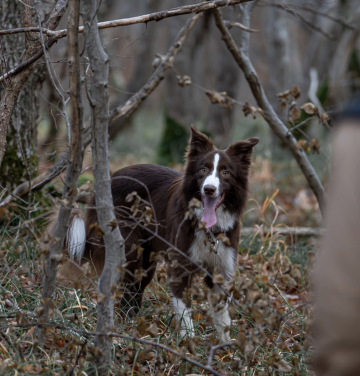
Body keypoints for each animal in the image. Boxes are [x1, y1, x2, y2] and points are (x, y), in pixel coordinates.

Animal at [59, 125, 258, 340]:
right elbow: (184, 310)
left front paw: (225, 345)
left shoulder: (221, 268)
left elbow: (223, 317)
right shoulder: (180, 265)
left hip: (147, 258)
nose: (209, 189)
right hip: (129, 246)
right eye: (203, 170)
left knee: (137, 287)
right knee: (128, 285)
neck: (209, 230)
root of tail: (103, 185)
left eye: (226, 172)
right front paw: (188, 342)